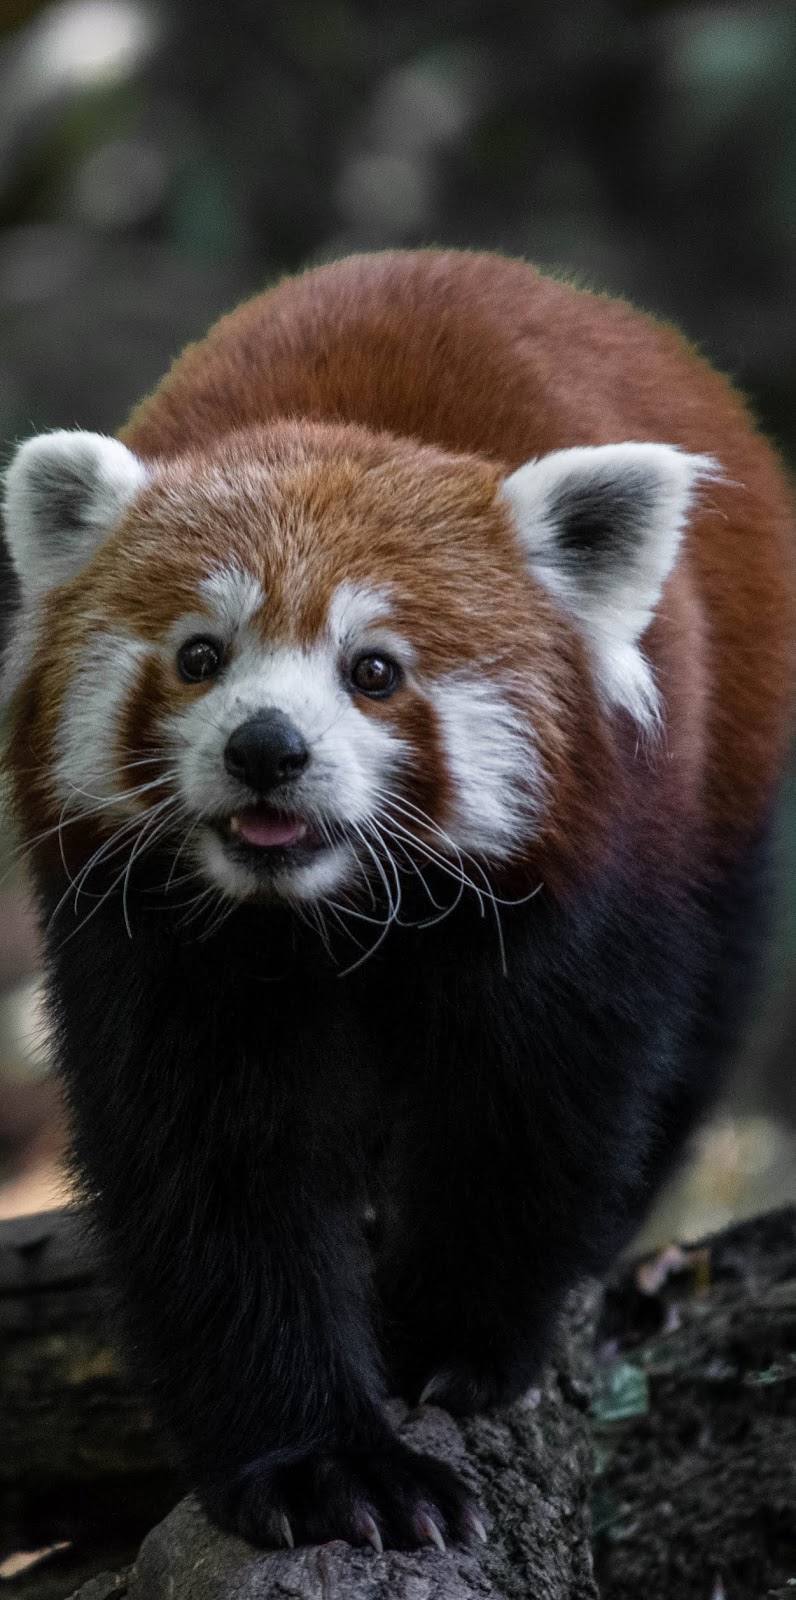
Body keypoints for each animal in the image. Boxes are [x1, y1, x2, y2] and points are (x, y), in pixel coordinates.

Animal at [1, 252, 796, 1548]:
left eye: (374, 671)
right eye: (200, 656)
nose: (266, 750)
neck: (324, 909)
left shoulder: (589, 879)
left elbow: (534, 1105)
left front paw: (446, 1343)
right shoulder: (157, 939)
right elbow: (219, 1176)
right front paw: (324, 1462)